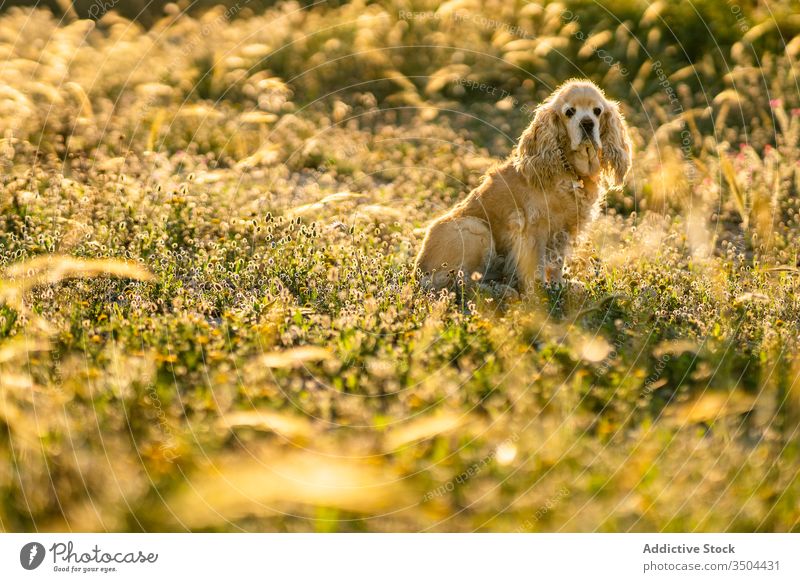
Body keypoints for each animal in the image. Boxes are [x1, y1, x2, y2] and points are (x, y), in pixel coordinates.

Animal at [412, 79, 632, 294]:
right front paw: (541, 292)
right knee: (461, 281)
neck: (570, 171)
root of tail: (418, 273)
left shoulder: (564, 230)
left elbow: (557, 264)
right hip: (475, 228)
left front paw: (559, 286)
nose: (587, 124)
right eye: (570, 112)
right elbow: (537, 267)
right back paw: (500, 290)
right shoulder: (533, 228)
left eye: (597, 111)